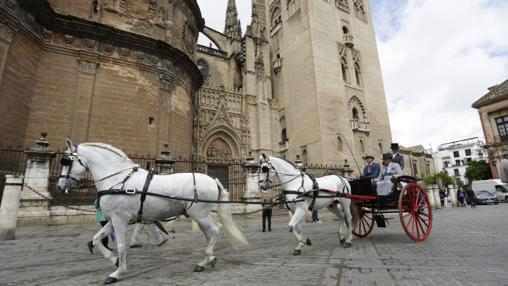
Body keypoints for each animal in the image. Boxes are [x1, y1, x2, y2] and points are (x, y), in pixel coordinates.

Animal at [57, 139, 248, 284]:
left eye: (67, 161)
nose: (59, 186)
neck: (119, 179)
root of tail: (213, 179)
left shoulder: (119, 219)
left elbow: (121, 245)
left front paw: (117, 272)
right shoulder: (112, 220)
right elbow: (96, 239)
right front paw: (114, 260)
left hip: (199, 214)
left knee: (215, 230)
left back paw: (207, 258)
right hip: (200, 216)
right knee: (210, 233)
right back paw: (206, 261)